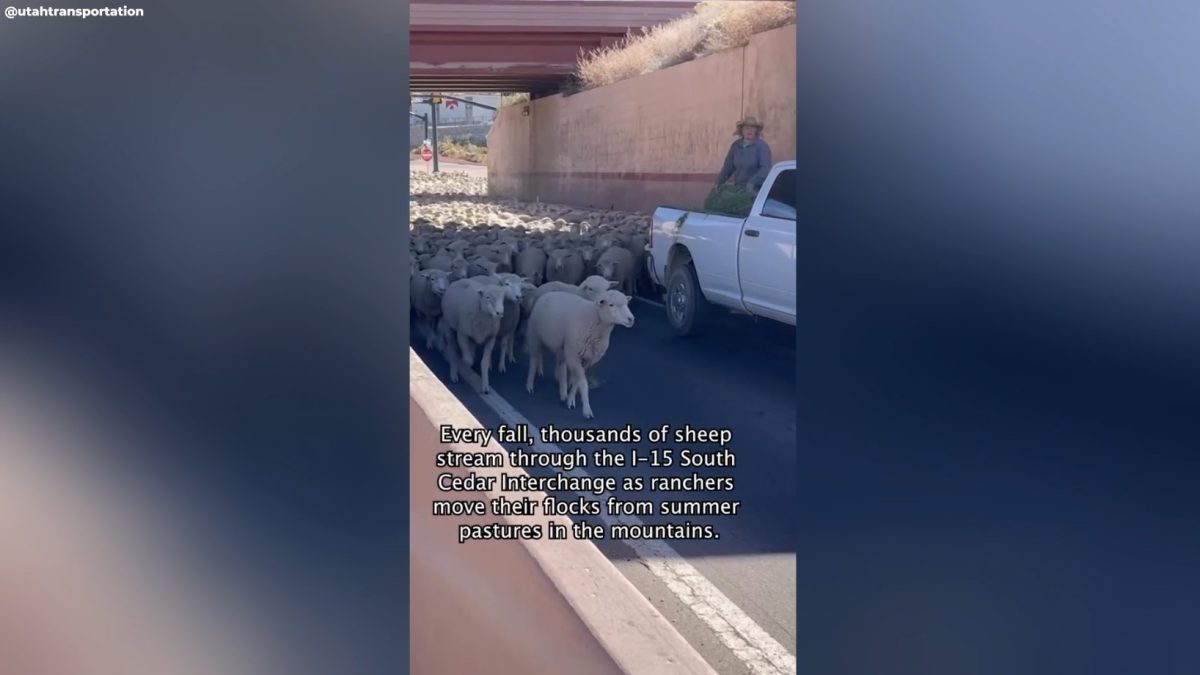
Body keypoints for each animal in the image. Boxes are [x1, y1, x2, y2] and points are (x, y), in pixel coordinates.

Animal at [525, 288, 638, 417]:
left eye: (627, 304)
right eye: (611, 305)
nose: (631, 319)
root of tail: (547, 293)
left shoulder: (589, 359)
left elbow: (576, 382)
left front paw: (570, 400)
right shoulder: (574, 356)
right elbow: (583, 383)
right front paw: (587, 410)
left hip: (561, 346)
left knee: (558, 363)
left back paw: (562, 391)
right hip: (535, 335)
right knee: (534, 359)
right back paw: (530, 385)